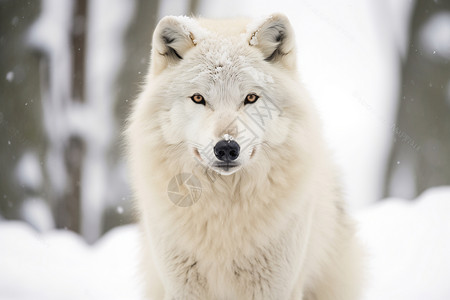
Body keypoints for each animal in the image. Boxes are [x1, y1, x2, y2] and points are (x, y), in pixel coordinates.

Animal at [125, 12, 362, 298]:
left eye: (250, 98)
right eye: (198, 98)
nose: (227, 147)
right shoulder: (181, 287)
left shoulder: (274, 287)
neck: (224, 210)